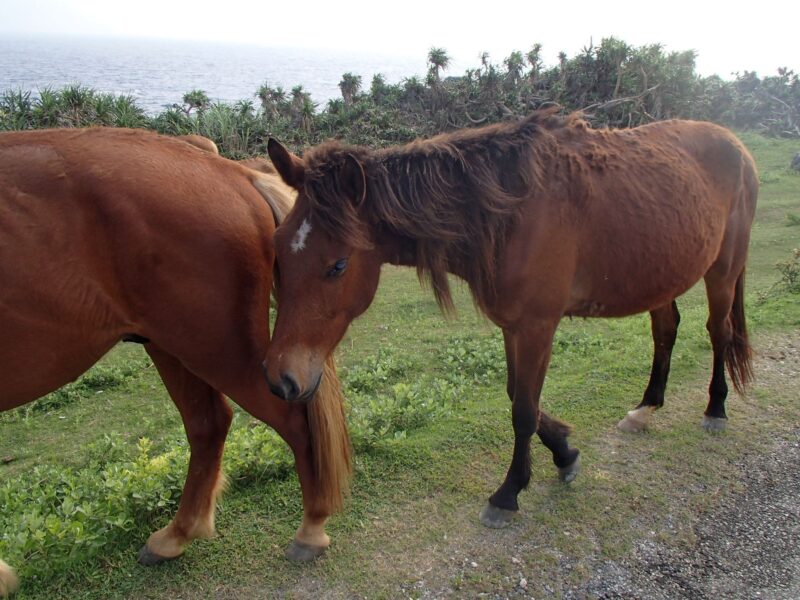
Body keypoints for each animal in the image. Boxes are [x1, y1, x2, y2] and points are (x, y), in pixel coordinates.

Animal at [0, 126, 350, 596]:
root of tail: (231, 172)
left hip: (214, 345)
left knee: (290, 419)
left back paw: (310, 528)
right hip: (171, 343)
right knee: (209, 424)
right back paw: (176, 536)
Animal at [262, 109, 756, 528]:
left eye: (338, 265)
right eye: (279, 248)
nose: (281, 379)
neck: (510, 212)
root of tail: (736, 143)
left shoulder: (537, 325)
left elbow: (523, 409)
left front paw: (509, 492)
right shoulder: (513, 325)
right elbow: (519, 395)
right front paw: (564, 451)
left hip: (723, 270)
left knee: (719, 332)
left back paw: (715, 407)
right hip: (662, 276)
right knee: (666, 330)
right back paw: (645, 407)